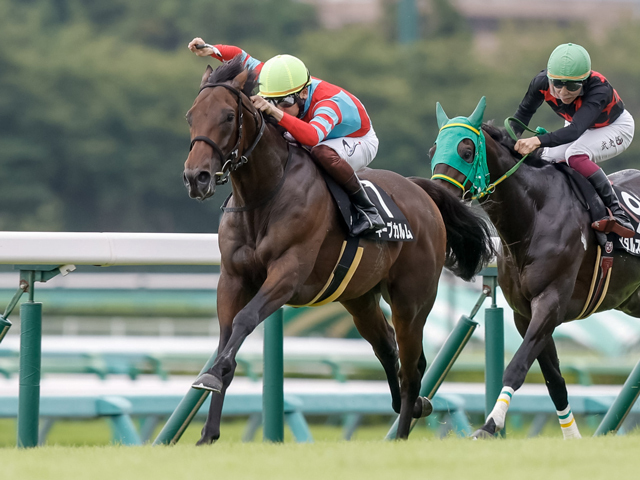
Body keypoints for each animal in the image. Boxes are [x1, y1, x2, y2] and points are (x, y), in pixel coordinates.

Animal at [181, 57, 496, 446]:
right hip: (359, 298)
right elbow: (227, 337)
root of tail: (421, 191)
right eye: (191, 116)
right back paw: (409, 408)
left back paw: (403, 430)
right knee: (387, 347)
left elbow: (244, 320)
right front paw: (208, 431)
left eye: (227, 116)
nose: (196, 178)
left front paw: (214, 376)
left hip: (412, 300)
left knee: (411, 367)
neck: (264, 195)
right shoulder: (233, 278)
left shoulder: (287, 274)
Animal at [428, 96, 640, 438]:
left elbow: (517, 366)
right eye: (433, 150)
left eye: (466, 150)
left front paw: (490, 425)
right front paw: (571, 436)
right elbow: (553, 379)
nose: (438, 198)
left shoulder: (550, 302)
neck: (534, 214)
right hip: (632, 300)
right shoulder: (524, 312)